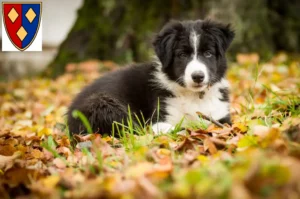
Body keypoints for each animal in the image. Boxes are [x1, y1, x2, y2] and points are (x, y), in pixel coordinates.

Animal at [68, 19, 234, 135]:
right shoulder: (159, 119)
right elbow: (177, 127)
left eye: (208, 53)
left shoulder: (222, 117)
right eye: (182, 55)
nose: (198, 77)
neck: (194, 96)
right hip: (100, 104)